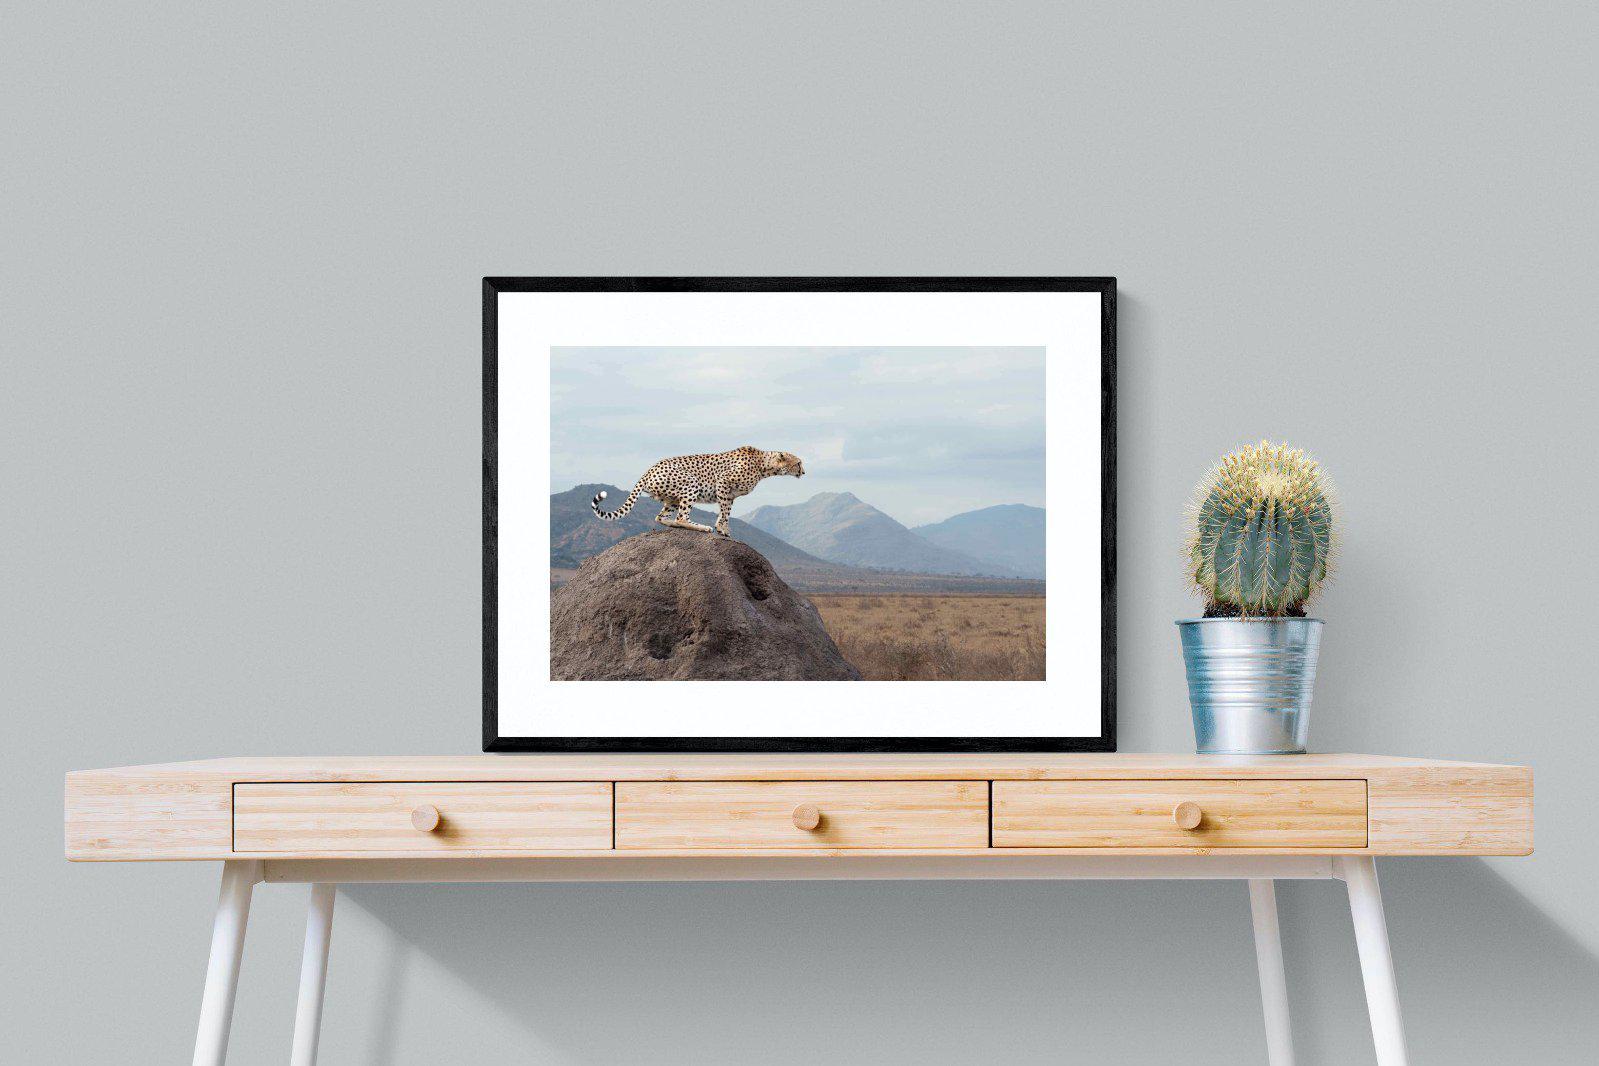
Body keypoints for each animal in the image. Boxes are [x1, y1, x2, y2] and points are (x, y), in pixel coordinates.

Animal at [591, 446, 805, 537]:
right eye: (798, 463)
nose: (804, 472)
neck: (763, 465)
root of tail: (649, 469)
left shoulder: (730, 494)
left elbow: (726, 512)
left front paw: (724, 528)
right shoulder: (723, 483)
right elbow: (724, 512)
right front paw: (721, 529)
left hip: (672, 499)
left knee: (661, 517)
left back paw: (675, 525)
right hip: (690, 483)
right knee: (681, 517)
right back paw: (702, 527)